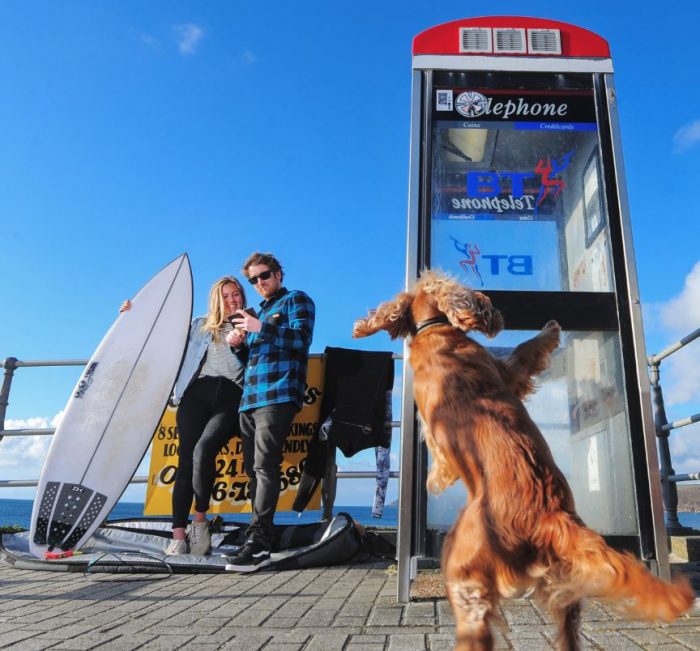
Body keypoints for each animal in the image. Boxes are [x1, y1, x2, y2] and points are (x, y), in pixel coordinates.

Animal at [352, 272, 692, 651]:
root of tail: (549, 515)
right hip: (559, 584)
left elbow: (522, 353)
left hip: (463, 568)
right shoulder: (502, 376)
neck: (434, 330)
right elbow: (524, 353)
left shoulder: (491, 380)